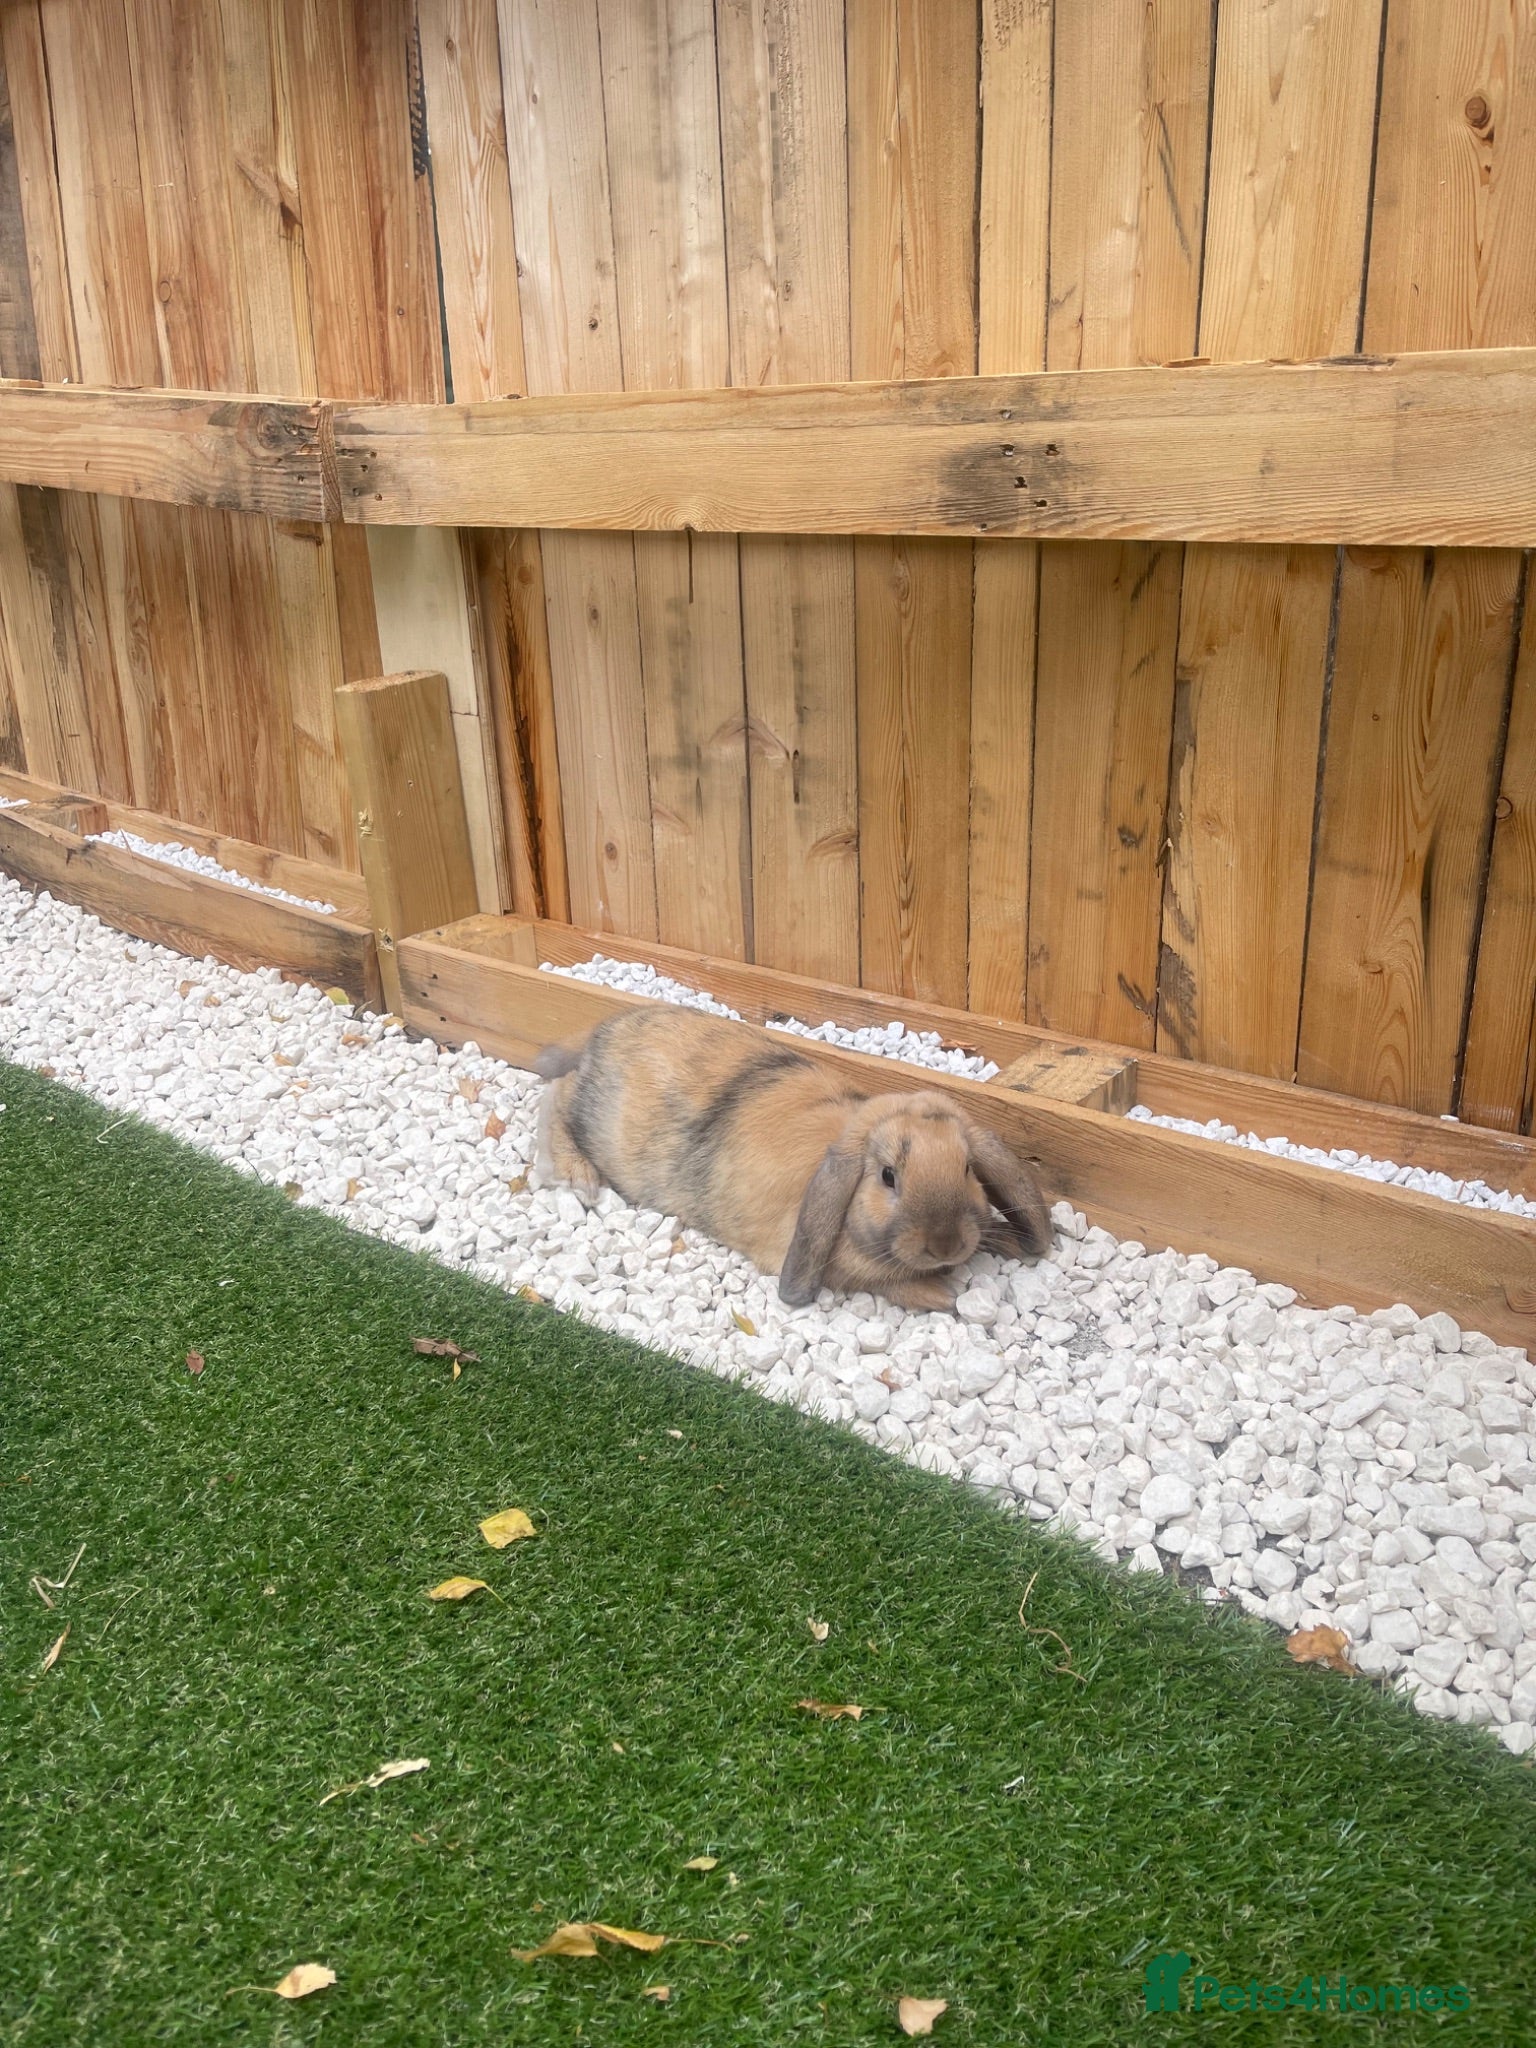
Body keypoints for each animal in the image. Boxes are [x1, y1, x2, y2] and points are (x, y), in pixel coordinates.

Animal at [534, 1005, 1052, 1312]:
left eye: (966, 1168)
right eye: (888, 1176)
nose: (946, 1247)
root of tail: (605, 1030)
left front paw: (1002, 1243)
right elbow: (881, 1283)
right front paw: (942, 1295)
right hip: (596, 1120)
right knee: (558, 1095)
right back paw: (579, 1177)